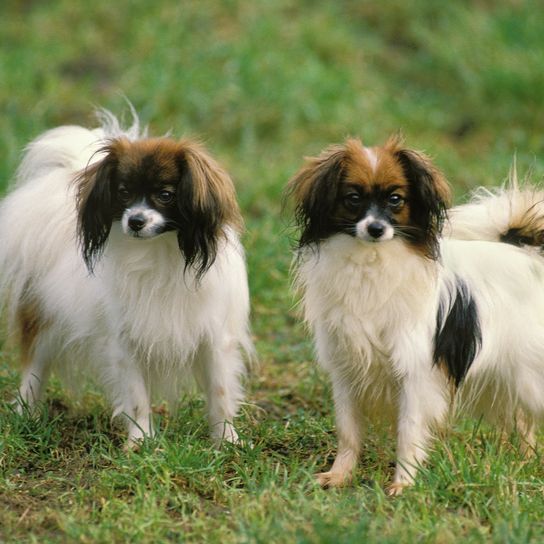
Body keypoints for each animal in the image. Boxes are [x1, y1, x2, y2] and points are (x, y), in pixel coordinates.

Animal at [0, 110, 253, 446]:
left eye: (165, 195)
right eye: (123, 193)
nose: (135, 221)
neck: (159, 251)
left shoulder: (213, 336)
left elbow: (219, 392)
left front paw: (227, 441)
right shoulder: (123, 340)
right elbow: (136, 397)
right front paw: (141, 443)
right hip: (43, 319)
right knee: (34, 368)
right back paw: (25, 415)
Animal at [292, 136, 544, 492]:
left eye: (396, 200)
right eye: (353, 199)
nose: (376, 228)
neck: (371, 262)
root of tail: (527, 252)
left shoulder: (415, 370)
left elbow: (408, 431)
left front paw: (403, 485)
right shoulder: (346, 368)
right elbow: (348, 429)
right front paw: (339, 476)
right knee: (524, 419)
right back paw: (524, 462)